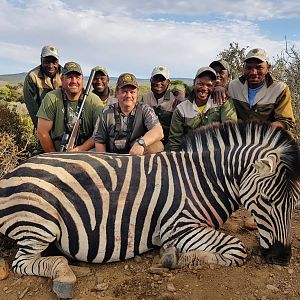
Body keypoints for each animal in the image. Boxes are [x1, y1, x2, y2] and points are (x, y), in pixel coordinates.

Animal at [0, 121, 298, 298]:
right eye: (267, 201)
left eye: (295, 204)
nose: (282, 257)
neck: (203, 178)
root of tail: (11, 172)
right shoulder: (178, 227)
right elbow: (237, 250)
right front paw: (174, 258)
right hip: (40, 221)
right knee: (22, 263)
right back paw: (63, 275)